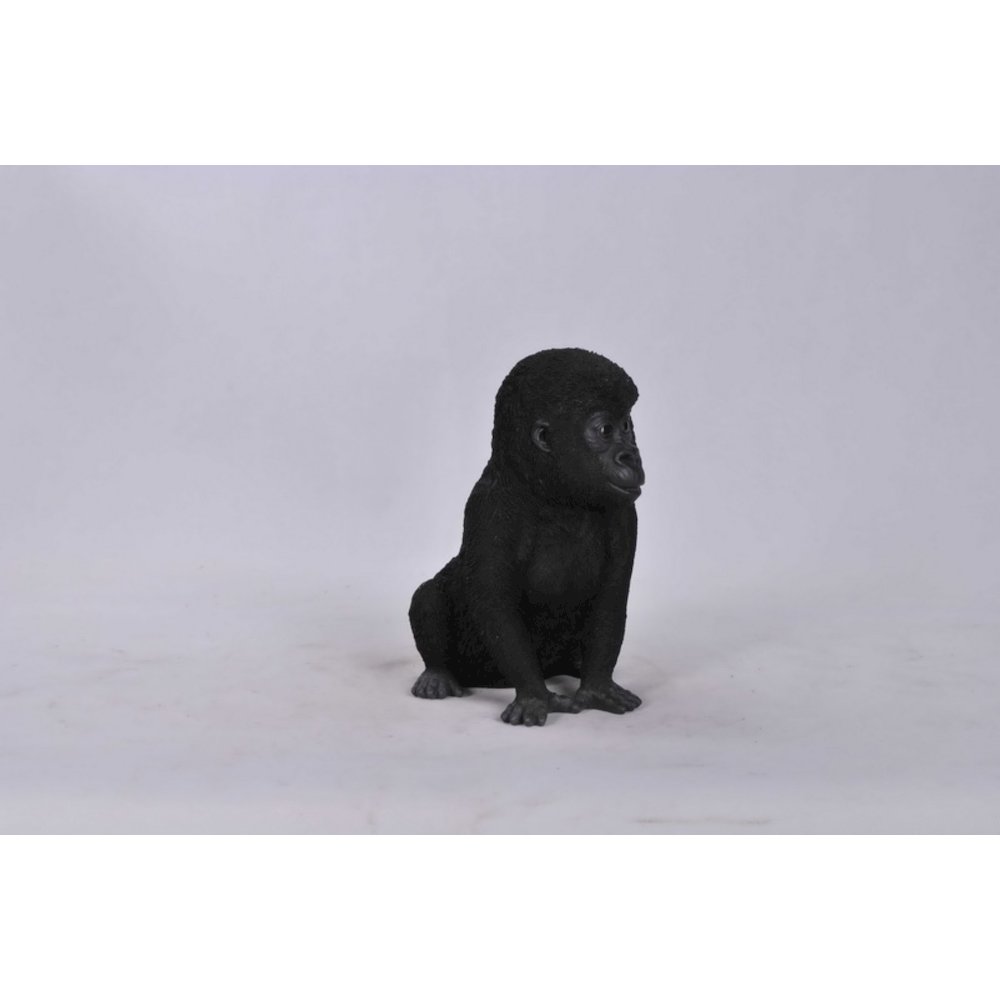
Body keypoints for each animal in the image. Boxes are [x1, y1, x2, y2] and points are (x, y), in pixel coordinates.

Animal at [408, 348, 645, 726]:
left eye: (627, 427)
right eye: (605, 430)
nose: (631, 455)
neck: (555, 495)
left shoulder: (624, 513)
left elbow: (612, 595)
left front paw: (597, 687)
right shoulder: (490, 508)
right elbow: (496, 604)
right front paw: (536, 696)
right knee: (428, 596)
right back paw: (438, 673)